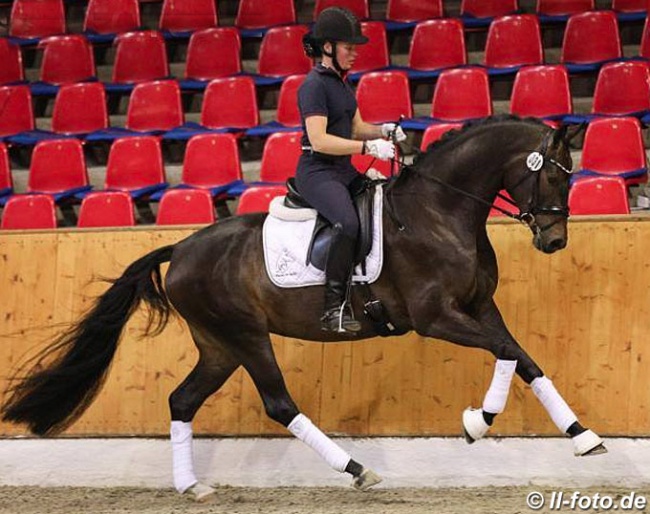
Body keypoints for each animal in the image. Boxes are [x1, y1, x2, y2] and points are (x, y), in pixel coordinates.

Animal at [2, 115, 604, 496]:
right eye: (553, 174)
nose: (554, 241)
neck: (440, 211)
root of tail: (184, 246)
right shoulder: (436, 318)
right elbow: (505, 353)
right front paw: (477, 422)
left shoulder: (480, 307)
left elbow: (523, 358)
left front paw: (584, 437)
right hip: (246, 337)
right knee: (278, 404)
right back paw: (357, 469)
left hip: (219, 346)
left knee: (182, 399)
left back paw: (192, 486)